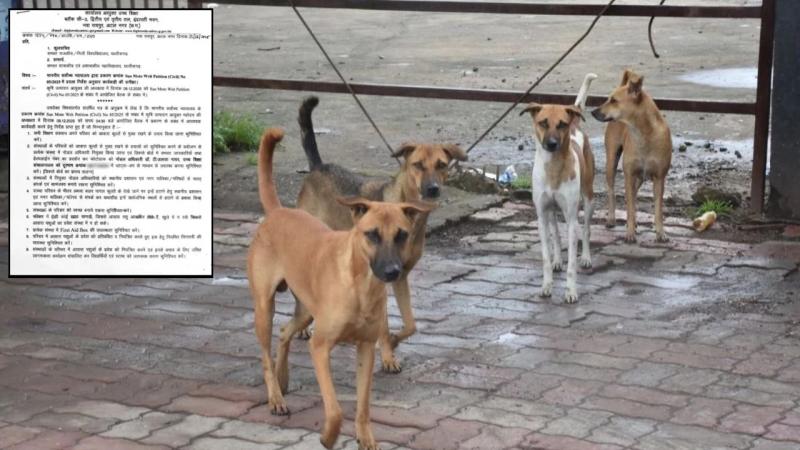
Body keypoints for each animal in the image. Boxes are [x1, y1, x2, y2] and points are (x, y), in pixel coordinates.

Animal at [247, 128, 432, 450]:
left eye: (401, 234)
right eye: (371, 234)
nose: (393, 272)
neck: (361, 286)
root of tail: (279, 212)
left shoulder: (366, 348)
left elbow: (362, 405)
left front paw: (365, 438)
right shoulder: (320, 348)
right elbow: (333, 408)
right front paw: (329, 435)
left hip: (306, 312)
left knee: (284, 331)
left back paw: (283, 377)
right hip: (264, 308)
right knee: (266, 354)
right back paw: (275, 397)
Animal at [294, 96, 467, 373]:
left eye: (441, 165)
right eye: (418, 165)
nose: (433, 189)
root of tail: (319, 167)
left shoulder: (400, 276)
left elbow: (411, 324)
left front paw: (395, 341)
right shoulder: (382, 278)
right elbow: (385, 327)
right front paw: (387, 356)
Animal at [520, 73, 597, 303]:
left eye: (562, 124)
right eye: (543, 123)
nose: (552, 144)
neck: (553, 167)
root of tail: (576, 126)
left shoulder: (571, 218)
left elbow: (572, 261)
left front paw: (571, 291)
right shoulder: (541, 215)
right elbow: (546, 252)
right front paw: (547, 285)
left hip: (588, 198)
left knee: (586, 229)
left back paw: (586, 258)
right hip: (552, 211)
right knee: (555, 233)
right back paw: (557, 260)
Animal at [591, 69, 673, 243]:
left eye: (614, 100)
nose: (592, 112)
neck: (643, 133)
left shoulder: (659, 178)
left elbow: (658, 209)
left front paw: (660, 232)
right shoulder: (629, 174)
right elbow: (629, 206)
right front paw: (629, 232)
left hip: (640, 177)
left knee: (633, 195)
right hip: (612, 162)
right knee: (612, 191)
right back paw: (612, 219)